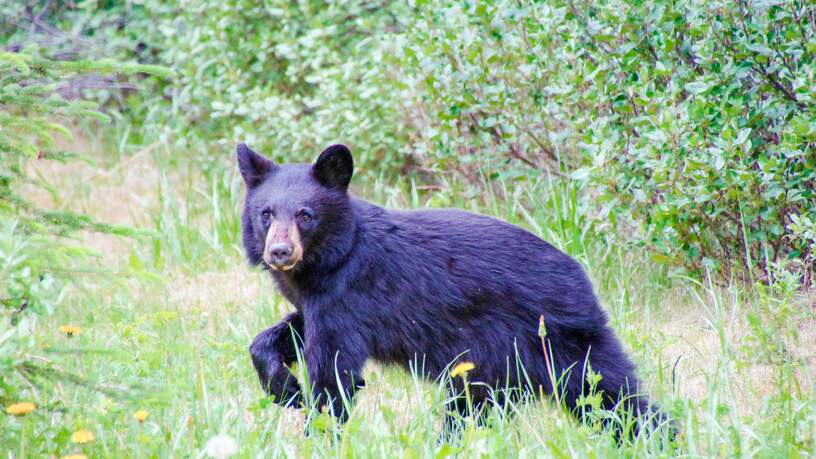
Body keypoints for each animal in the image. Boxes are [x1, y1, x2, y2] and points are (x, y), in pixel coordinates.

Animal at [239, 144, 652, 434]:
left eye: (306, 216)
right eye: (266, 214)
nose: (280, 251)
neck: (326, 261)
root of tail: (582, 276)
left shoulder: (351, 292)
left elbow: (334, 370)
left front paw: (319, 427)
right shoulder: (321, 299)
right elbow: (288, 331)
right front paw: (285, 388)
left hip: (557, 339)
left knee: (606, 393)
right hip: (495, 366)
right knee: (475, 409)